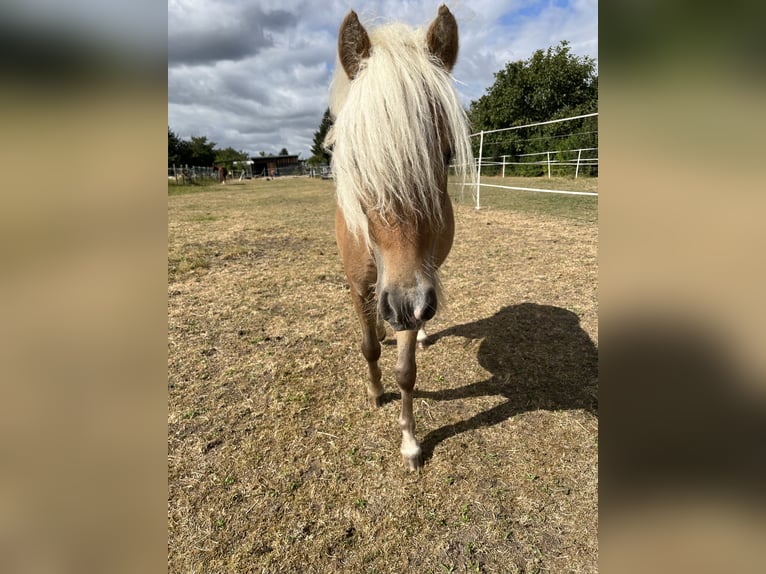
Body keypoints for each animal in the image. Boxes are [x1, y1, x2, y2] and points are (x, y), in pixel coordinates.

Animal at [322, 5, 474, 472]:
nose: (407, 306)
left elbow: (406, 371)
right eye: (353, 161)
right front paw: (374, 392)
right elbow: (370, 346)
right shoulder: (361, 286)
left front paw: (409, 441)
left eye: (446, 155)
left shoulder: (414, 287)